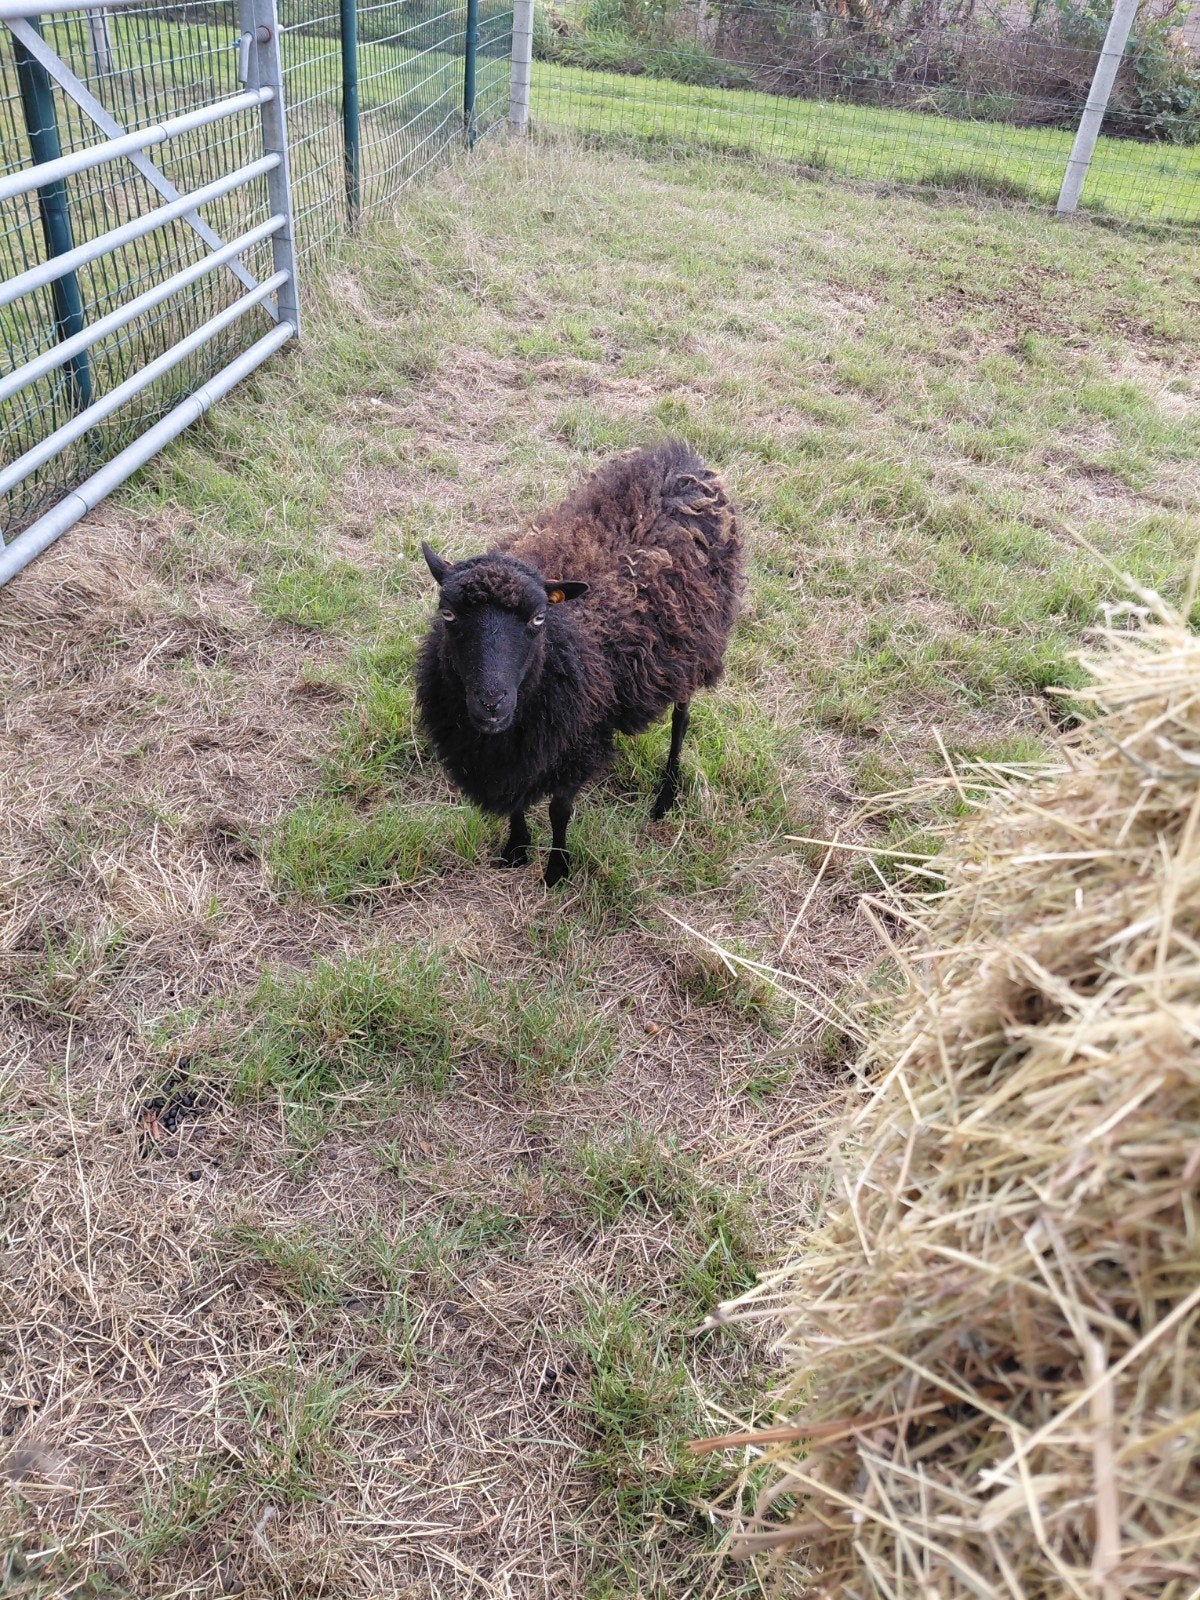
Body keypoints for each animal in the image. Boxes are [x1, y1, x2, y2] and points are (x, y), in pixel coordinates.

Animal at [415, 439, 743, 886]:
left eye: (539, 618)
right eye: (447, 614)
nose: (491, 703)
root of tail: (681, 459)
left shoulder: (577, 743)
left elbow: (559, 811)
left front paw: (557, 869)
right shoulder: (518, 754)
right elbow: (518, 801)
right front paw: (516, 849)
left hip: (693, 650)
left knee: (681, 720)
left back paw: (666, 796)